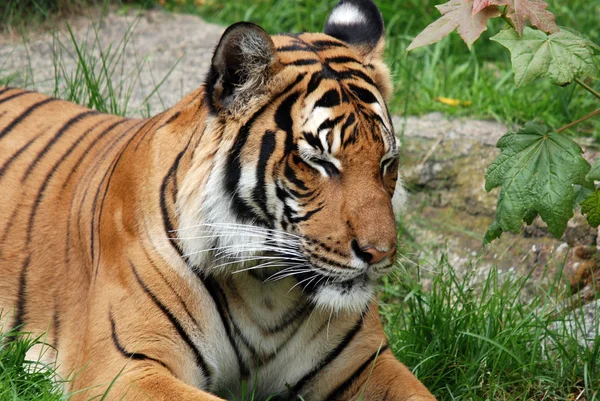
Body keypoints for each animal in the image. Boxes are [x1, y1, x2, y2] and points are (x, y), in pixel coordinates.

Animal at [1, 0, 436, 398]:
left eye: (387, 162)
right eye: (320, 162)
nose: (379, 255)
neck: (268, 290)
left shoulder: (365, 362)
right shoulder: (124, 368)